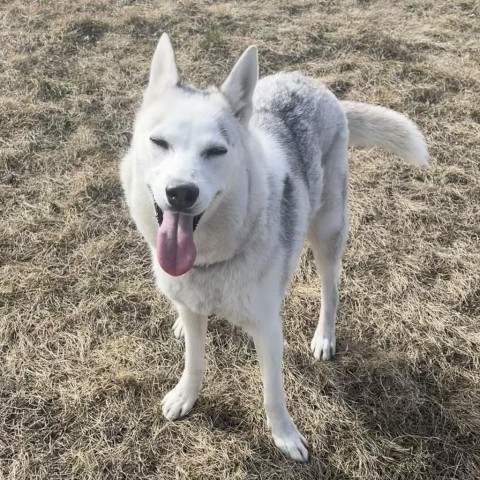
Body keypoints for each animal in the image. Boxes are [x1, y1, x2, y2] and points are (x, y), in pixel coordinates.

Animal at [120, 33, 428, 462]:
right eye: (159, 142)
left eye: (216, 151)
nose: (181, 193)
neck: (212, 259)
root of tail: (315, 85)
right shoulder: (194, 305)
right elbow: (195, 361)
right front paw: (185, 396)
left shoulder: (267, 327)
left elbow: (272, 392)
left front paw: (285, 436)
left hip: (328, 233)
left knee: (331, 291)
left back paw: (324, 337)